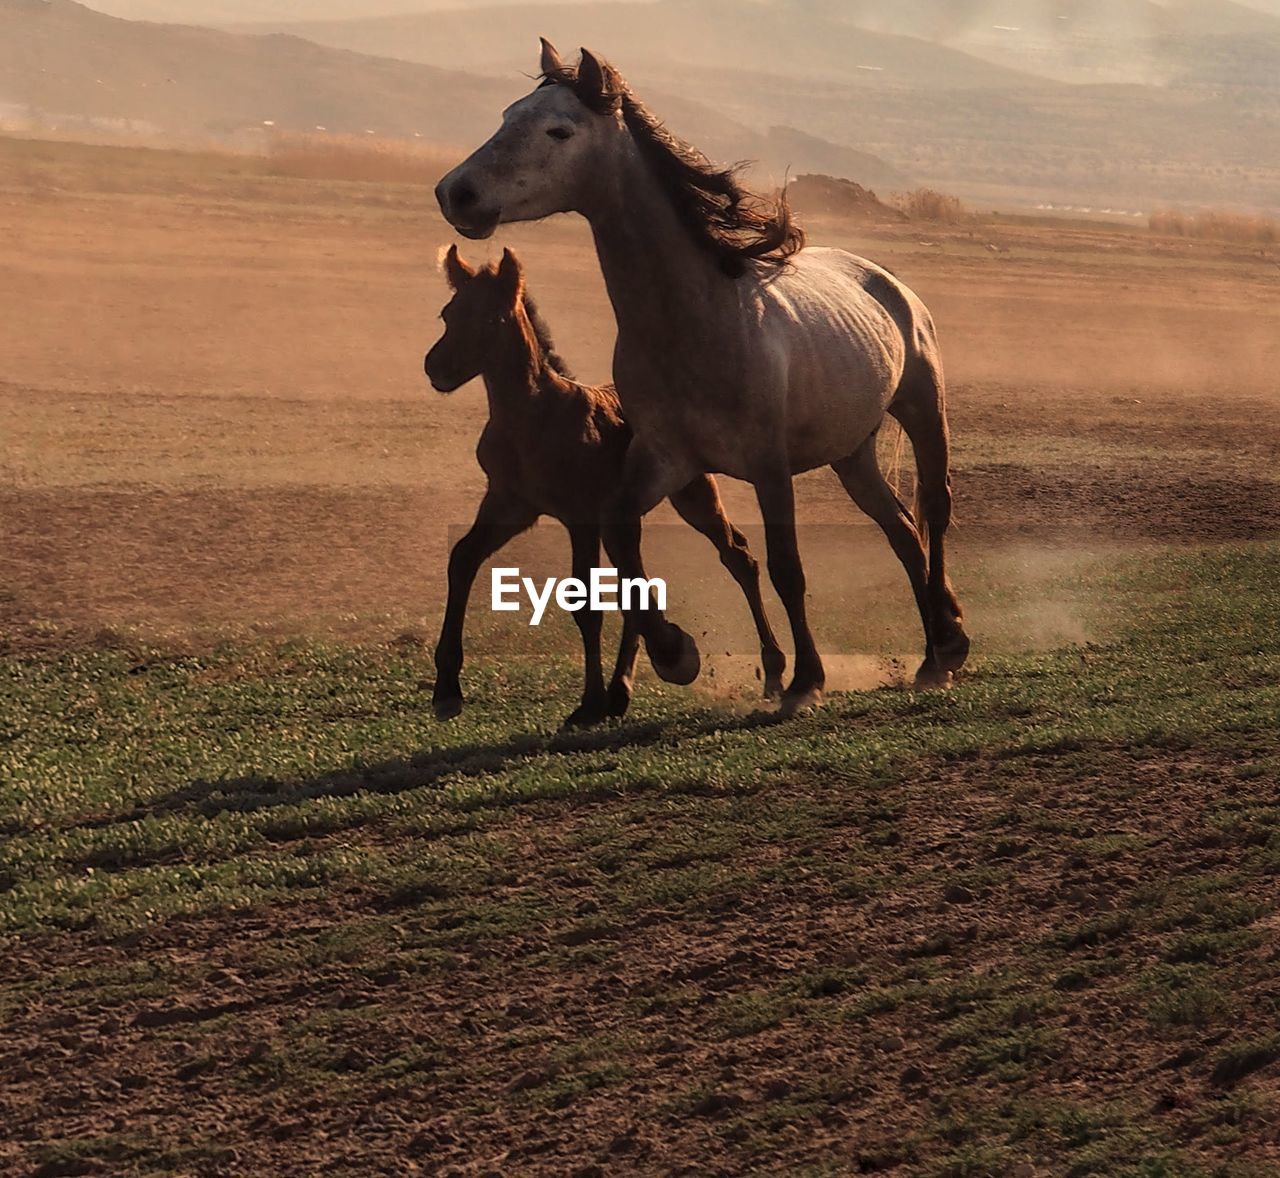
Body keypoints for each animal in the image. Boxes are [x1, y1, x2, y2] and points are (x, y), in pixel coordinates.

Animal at [440, 41, 967, 711]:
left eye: (559, 129)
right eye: (508, 115)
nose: (456, 193)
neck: (696, 322)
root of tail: (884, 279)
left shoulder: (769, 466)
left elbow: (787, 565)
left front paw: (805, 680)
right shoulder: (667, 461)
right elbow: (622, 537)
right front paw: (675, 653)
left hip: (923, 410)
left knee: (935, 510)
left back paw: (950, 643)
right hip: (853, 453)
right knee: (901, 530)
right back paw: (928, 660)